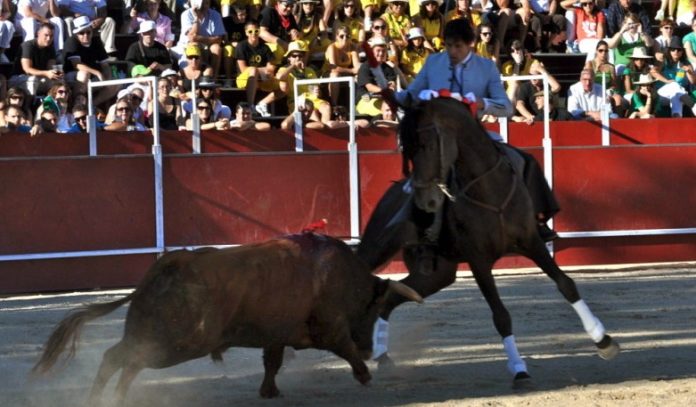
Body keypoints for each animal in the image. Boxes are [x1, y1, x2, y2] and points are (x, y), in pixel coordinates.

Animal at [31, 234, 424, 406]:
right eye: (374, 310)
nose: (370, 347)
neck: (345, 275)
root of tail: (167, 263)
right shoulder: (330, 328)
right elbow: (342, 347)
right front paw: (365, 375)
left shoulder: (275, 334)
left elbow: (272, 362)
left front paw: (269, 391)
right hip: (175, 344)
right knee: (122, 358)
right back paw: (105, 398)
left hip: (152, 336)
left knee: (123, 360)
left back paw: (110, 398)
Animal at [358, 97, 620, 388]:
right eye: (407, 149)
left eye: (427, 145)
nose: (425, 201)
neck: (488, 192)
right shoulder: (479, 261)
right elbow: (501, 316)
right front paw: (519, 369)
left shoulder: (532, 242)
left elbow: (566, 284)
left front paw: (603, 340)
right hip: (379, 248)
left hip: (437, 274)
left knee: (391, 297)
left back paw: (382, 355)